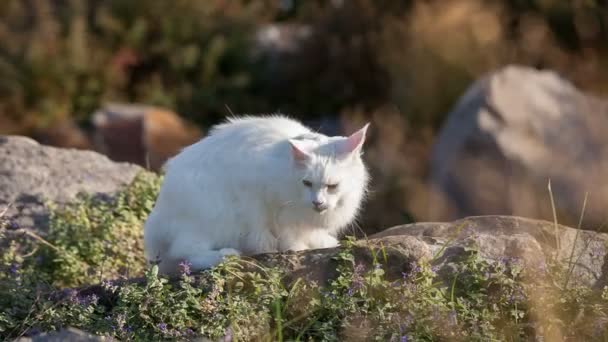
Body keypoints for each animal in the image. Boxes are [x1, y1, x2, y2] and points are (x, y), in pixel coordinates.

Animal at [144, 115, 368, 272]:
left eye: (332, 186)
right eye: (307, 183)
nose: (317, 202)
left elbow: (311, 233)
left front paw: (321, 243)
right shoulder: (269, 205)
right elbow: (288, 234)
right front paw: (297, 247)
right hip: (211, 217)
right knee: (186, 253)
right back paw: (227, 255)